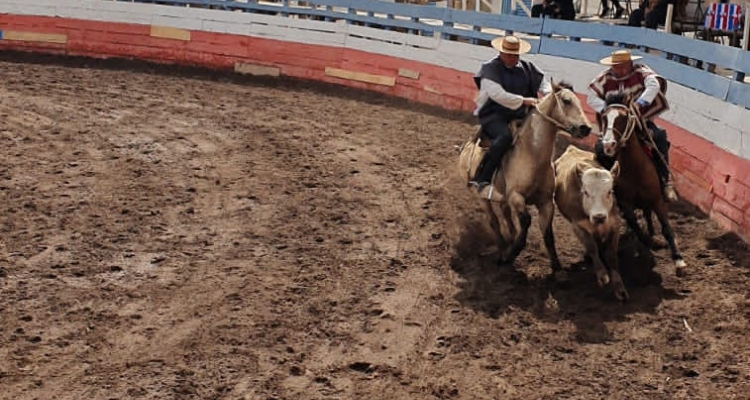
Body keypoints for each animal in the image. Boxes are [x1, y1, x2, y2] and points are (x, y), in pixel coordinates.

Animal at [458, 81, 592, 268]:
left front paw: (557, 267)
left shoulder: (546, 202)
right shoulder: (516, 197)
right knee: (494, 221)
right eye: (566, 101)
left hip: (502, 196)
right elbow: (526, 221)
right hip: (481, 197)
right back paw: (502, 250)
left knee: (505, 213)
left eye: (579, 101)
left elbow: (548, 234)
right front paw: (512, 254)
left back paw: (510, 237)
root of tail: (469, 144)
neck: (532, 155)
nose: (586, 128)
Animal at [600, 92, 688, 274]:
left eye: (623, 117)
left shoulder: (657, 200)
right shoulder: (625, 203)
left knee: (648, 214)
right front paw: (650, 242)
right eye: (604, 117)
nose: (608, 145)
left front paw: (678, 260)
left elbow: (667, 229)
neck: (635, 168)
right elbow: (635, 225)